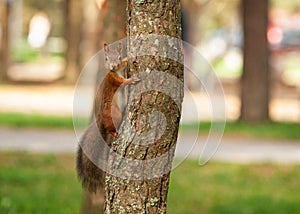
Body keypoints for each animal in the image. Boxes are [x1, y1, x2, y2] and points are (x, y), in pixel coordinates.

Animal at [77, 42, 139, 191]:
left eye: (119, 57)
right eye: (106, 58)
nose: (113, 66)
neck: (116, 72)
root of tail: (100, 118)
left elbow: (125, 64)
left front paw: (128, 58)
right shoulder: (114, 80)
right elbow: (123, 82)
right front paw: (131, 80)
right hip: (114, 115)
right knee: (111, 128)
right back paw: (115, 133)